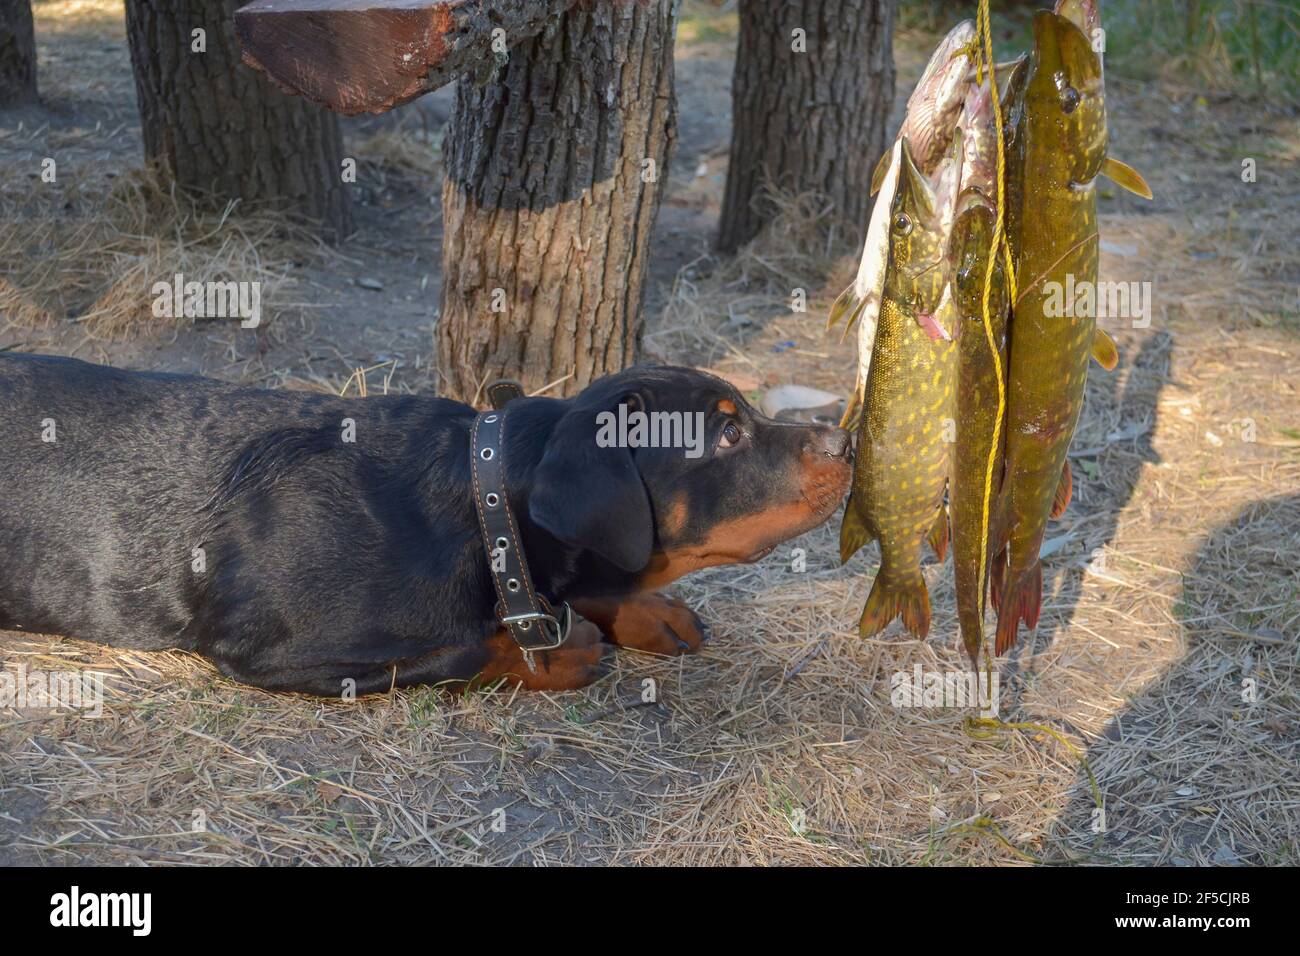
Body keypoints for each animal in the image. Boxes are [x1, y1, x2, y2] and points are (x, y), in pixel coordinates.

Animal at [0, 356, 852, 691]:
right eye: (728, 433)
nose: (844, 440)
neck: (482, 511)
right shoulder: (273, 653)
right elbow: (466, 648)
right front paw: (559, 650)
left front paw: (646, 609)